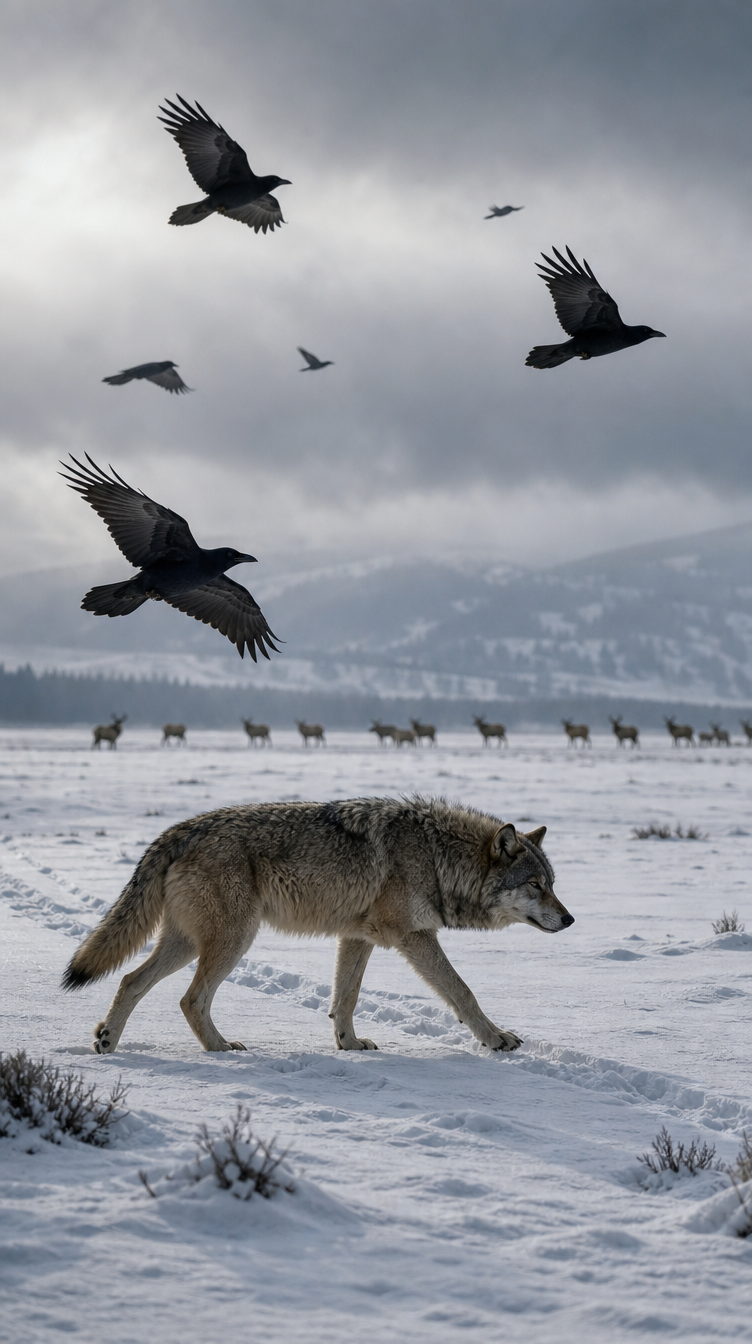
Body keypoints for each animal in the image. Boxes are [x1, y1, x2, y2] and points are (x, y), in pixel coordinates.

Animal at [62, 796, 574, 1056]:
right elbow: (463, 991)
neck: (437, 856)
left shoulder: (358, 938)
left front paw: (348, 1044)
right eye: (535, 885)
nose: (570, 919)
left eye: (552, 883)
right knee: (190, 998)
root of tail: (177, 830)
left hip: (188, 943)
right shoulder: (413, 937)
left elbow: (344, 999)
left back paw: (108, 1041)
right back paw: (220, 1048)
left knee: (130, 980)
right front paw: (497, 1039)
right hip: (234, 940)